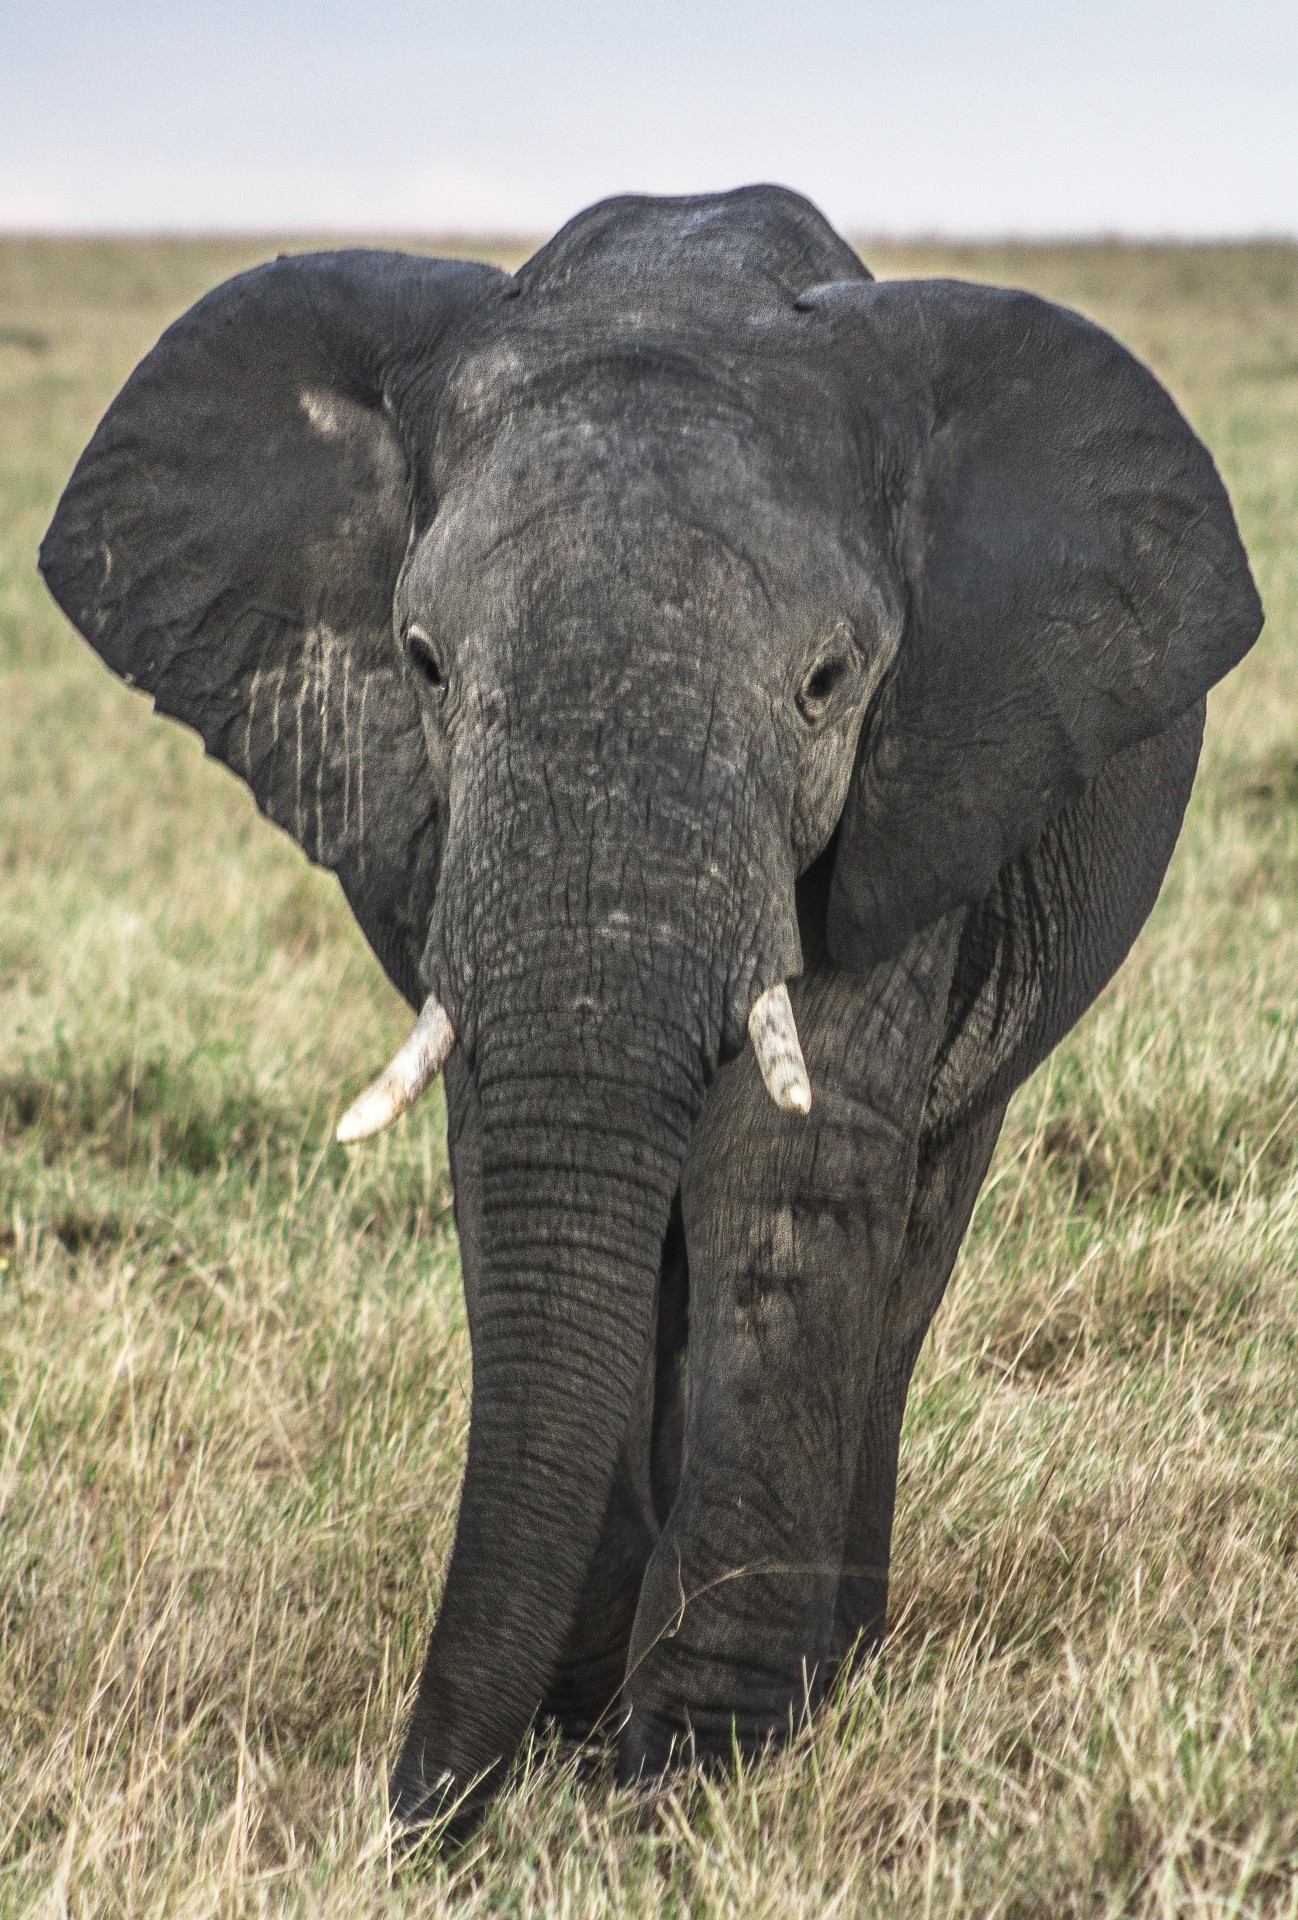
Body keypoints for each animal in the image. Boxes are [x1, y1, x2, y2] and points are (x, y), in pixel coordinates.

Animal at [39, 185, 1262, 1838]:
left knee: (910, 1226)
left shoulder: (915, 777)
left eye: (827, 682)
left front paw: (688, 1773)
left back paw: (839, 1650)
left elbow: (786, 1173)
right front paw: (583, 1727)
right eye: (421, 665)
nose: (412, 1813)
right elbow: (513, 1159)